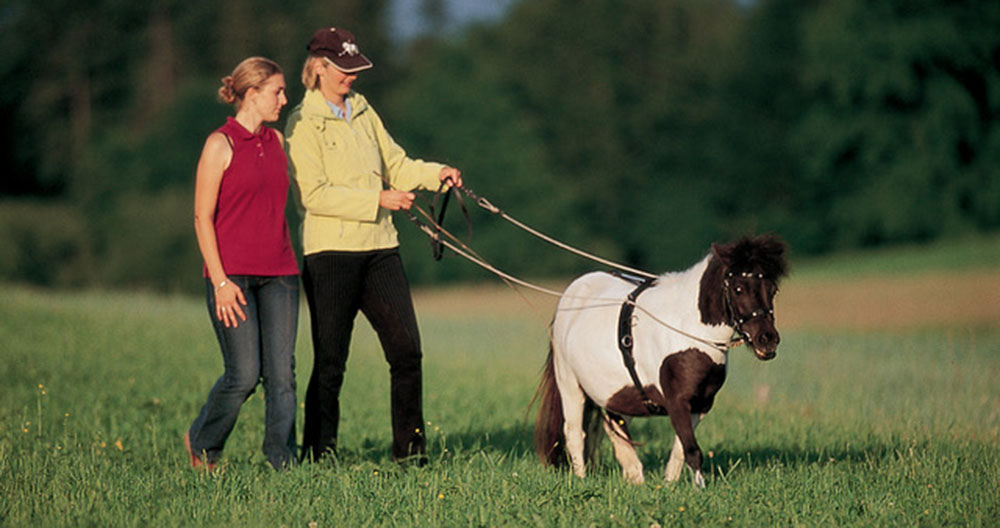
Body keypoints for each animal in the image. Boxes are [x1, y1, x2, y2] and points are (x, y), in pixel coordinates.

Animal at [534, 234, 787, 487]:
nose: (767, 340)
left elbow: (681, 450)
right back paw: (581, 478)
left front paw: (669, 485)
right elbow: (692, 450)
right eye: (738, 289)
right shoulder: (677, 401)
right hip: (569, 382)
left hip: (616, 394)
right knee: (575, 432)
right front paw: (699, 488)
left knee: (615, 427)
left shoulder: (701, 404)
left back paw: (634, 477)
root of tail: (572, 293)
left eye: (773, 289)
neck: (690, 329)